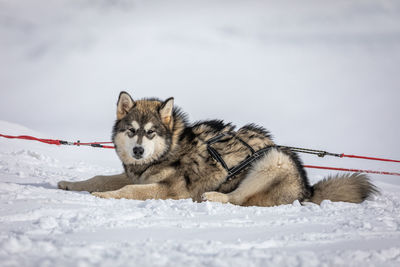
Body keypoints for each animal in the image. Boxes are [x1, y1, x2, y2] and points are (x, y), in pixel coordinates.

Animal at [57, 92, 378, 207]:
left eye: (150, 132)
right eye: (132, 130)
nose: (137, 152)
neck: (170, 147)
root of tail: (307, 188)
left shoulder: (170, 189)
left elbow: (129, 190)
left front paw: (105, 195)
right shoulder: (135, 174)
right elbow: (100, 178)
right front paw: (71, 184)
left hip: (271, 161)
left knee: (236, 199)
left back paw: (212, 196)